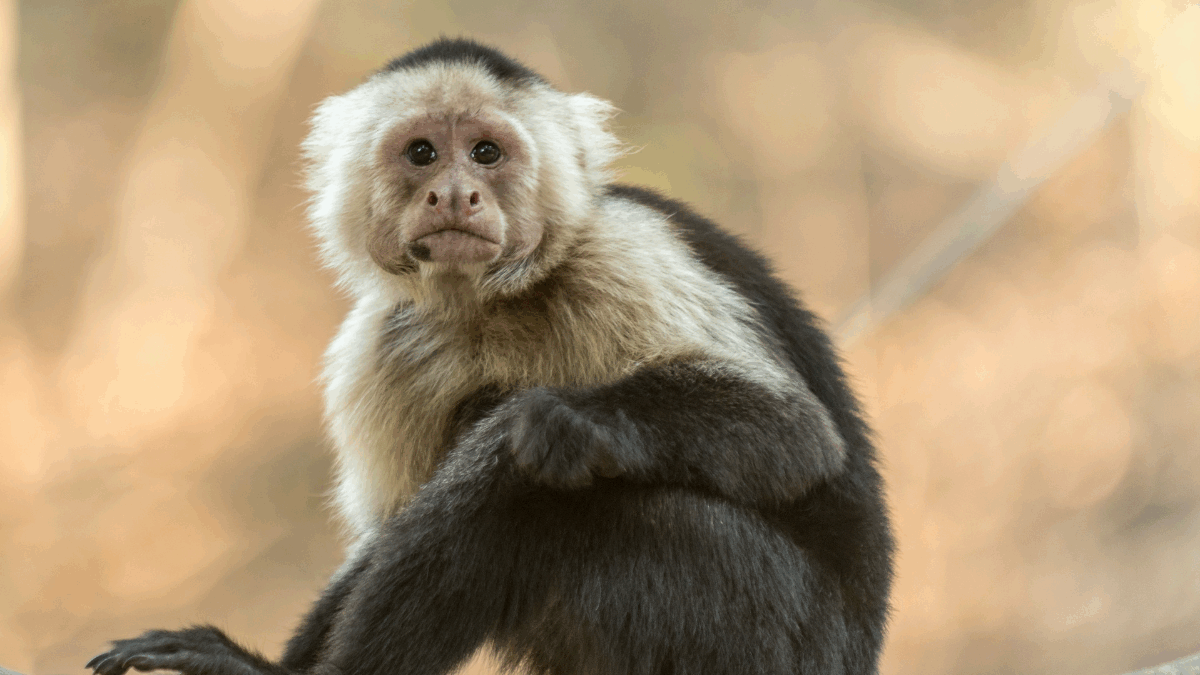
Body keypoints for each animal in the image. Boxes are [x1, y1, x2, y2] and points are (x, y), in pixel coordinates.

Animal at [87, 38, 894, 675]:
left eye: (485, 152)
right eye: (422, 154)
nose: (453, 194)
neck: (492, 301)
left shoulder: (622, 253)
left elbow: (794, 434)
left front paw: (569, 420)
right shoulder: (383, 340)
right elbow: (386, 530)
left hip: (779, 636)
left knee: (535, 477)